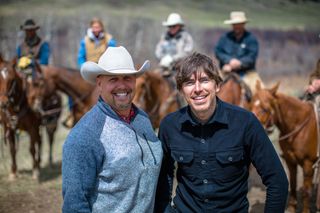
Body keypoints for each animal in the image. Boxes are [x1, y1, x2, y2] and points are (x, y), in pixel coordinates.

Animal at [251, 80, 318, 213]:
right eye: (251, 104)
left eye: (265, 109)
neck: (298, 127)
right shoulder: (290, 161)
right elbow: (292, 185)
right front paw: (291, 208)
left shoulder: (308, 164)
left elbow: (306, 192)